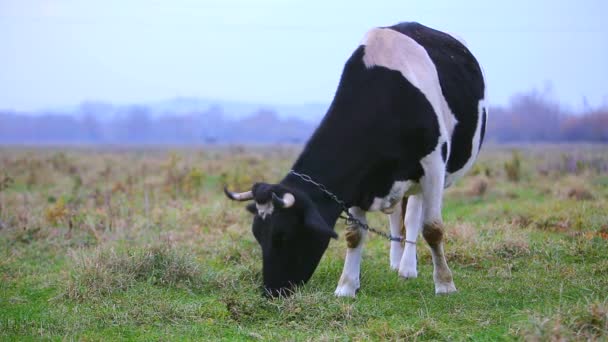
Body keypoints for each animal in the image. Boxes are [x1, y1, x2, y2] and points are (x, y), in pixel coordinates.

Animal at [223, 21, 484, 296]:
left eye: (283, 236)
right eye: (257, 235)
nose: (271, 291)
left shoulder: (433, 164)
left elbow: (432, 228)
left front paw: (445, 284)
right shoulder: (361, 180)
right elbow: (354, 234)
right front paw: (346, 286)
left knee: (413, 216)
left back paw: (408, 268)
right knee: (398, 217)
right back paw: (397, 263)